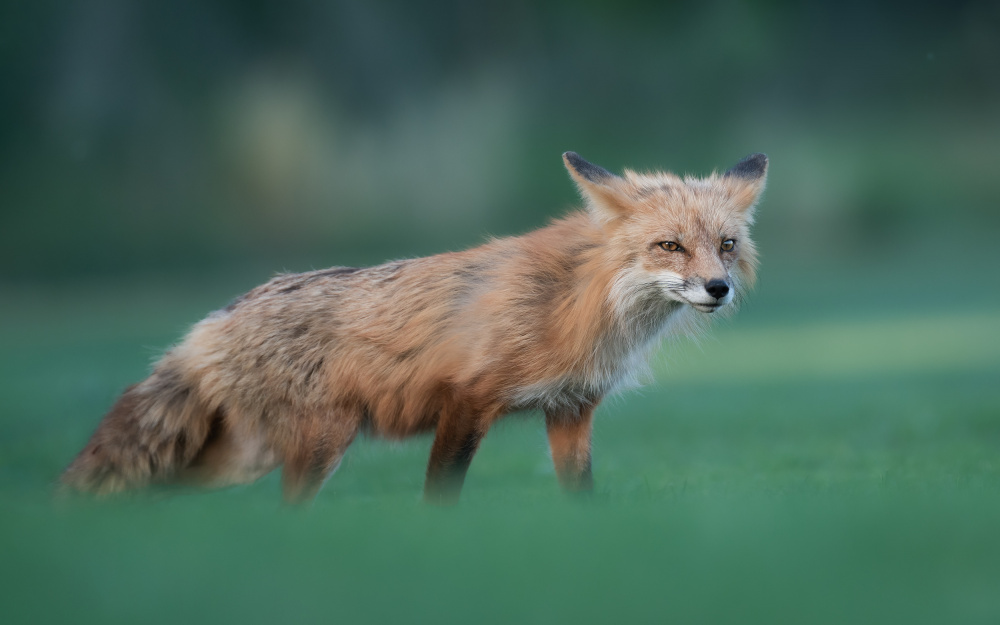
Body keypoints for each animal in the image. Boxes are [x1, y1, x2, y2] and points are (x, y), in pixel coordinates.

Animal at [58, 150, 768, 502]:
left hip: (246, 456)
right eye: (670, 246)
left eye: (726, 246)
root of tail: (215, 319)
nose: (718, 288)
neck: (577, 301)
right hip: (318, 445)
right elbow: (440, 495)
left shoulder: (570, 410)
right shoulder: (468, 399)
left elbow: (583, 497)